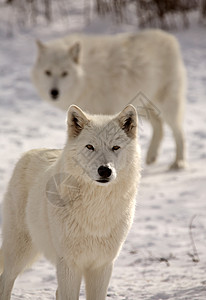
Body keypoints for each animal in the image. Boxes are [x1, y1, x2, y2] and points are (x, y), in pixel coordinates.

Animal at [0, 104, 140, 298]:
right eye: (90, 147)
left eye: (115, 147)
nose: (104, 170)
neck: (96, 209)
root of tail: (29, 152)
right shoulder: (69, 264)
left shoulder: (102, 266)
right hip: (20, 252)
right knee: (5, 280)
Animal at [32, 31, 187, 171]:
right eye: (47, 72)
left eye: (64, 73)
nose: (54, 92)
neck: (85, 77)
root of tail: (169, 37)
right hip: (142, 107)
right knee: (159, 125)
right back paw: (151, 157)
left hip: (166, 106)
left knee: (178, 131)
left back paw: (178, 162)